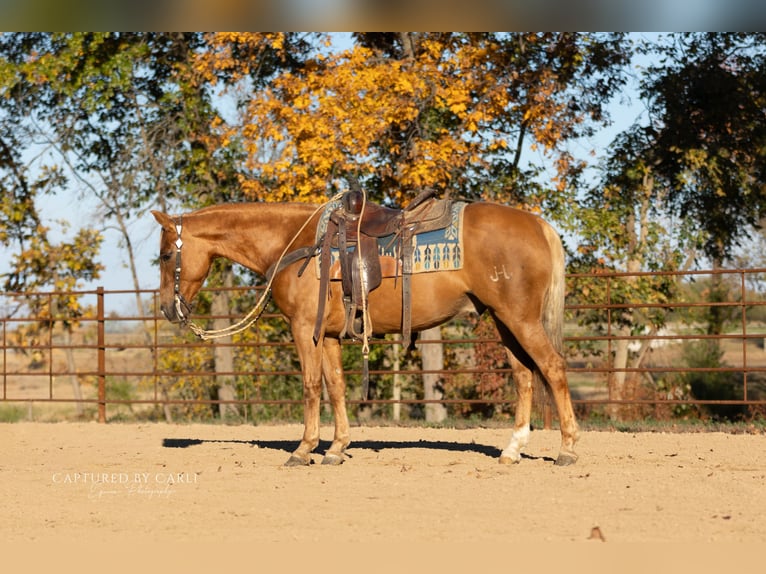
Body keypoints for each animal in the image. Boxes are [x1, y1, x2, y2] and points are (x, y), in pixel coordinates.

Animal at [151, 200, 580, 466]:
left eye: (167, 255)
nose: (168, 309)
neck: (297, 243)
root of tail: (538, 225)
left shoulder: (303, 329)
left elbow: (311, 386)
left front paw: (303, 449)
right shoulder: (326, 336)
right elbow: (337, 386)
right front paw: (336, 448)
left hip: (520, 319)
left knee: (553, 368)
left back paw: (568, 449)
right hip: (504, 321)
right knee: (524, 376)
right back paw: (512, 449)